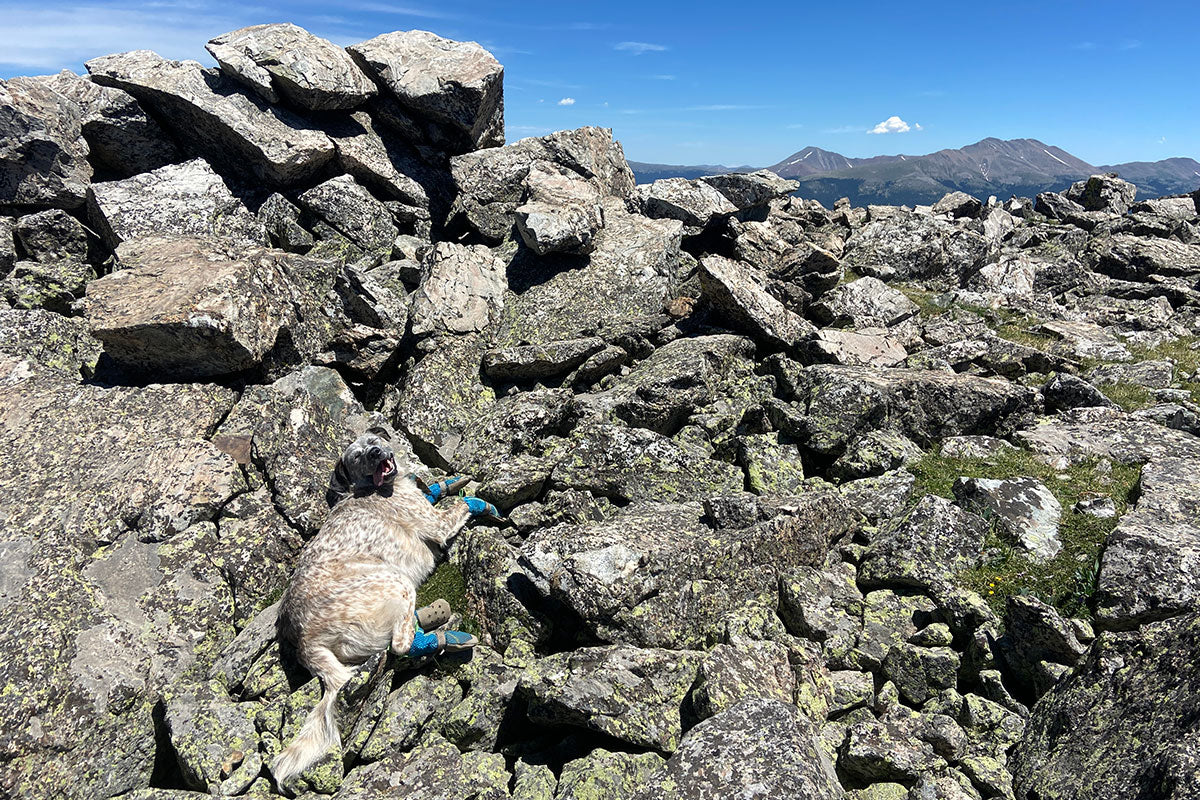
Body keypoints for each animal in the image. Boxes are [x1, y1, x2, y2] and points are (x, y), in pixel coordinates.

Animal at [271, 434, 492, 786]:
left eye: (372, 441)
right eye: (357, 456)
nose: (376, 454)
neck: (380, 489)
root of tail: (306, 643)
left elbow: (435, 493)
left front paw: (442, 484)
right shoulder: (438, 524)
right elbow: (463, 505)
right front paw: (481, 503)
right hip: (395, 580)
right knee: (401, 645)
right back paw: (447, 638)